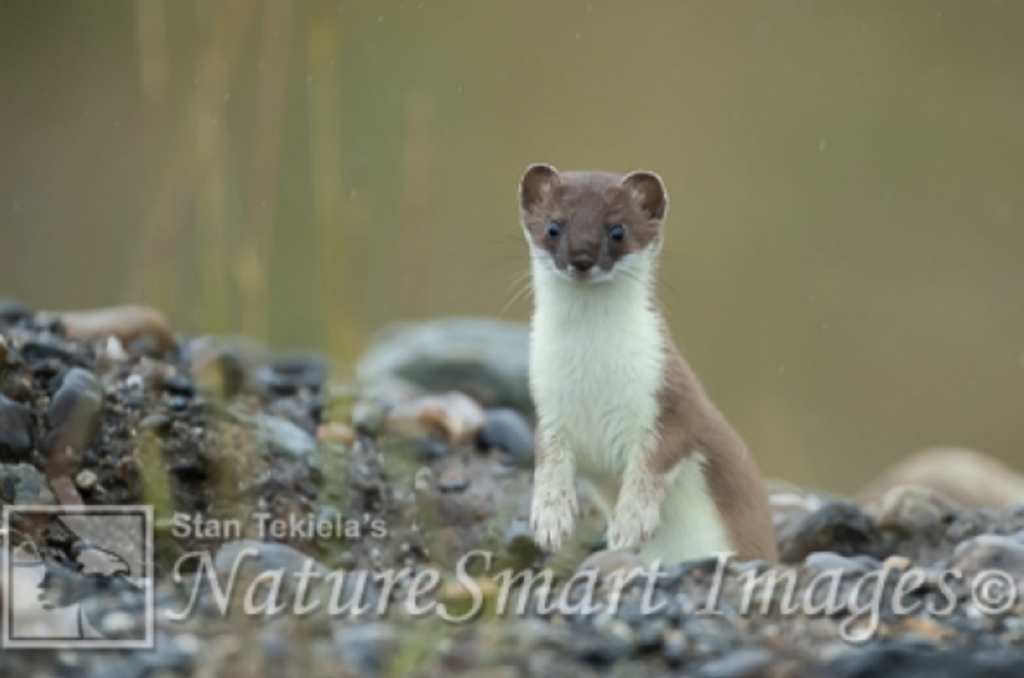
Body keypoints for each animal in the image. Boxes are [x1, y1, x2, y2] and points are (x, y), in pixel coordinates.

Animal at [520, 165, 774, 569]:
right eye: (554, 226)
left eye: (617, 230)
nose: (581, 256)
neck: (590, 375)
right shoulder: (547, 405)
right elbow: (548, 462)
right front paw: (550, 516)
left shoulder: (671, 396)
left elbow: (654, 463)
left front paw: (630, 522)